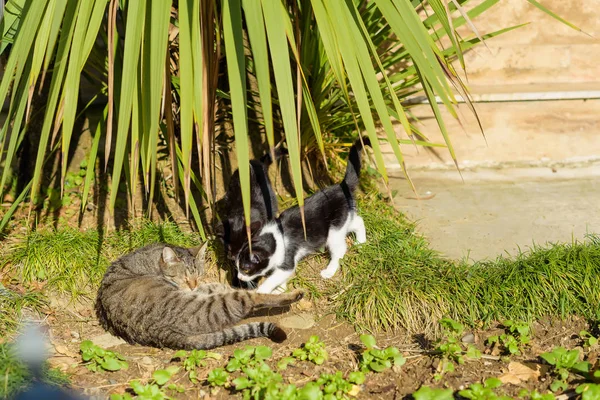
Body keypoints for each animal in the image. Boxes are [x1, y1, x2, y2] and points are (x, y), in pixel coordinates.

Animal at [95, 242, 302, 348]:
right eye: (185, 278)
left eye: (199, 275)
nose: (193, 286)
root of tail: (160, 334)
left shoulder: (202, 289)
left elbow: (216, 286)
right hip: (213, 307)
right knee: (251, 299)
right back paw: (293, 294)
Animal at [236, 138, 370, 294]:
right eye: (237, 266)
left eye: (245, 269)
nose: (239, 277)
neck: (274, 237)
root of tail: (342, 186)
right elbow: (282, 278)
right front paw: (280, 290)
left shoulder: (287, 258)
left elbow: (275, 277)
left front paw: (262, 291)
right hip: (344, 218)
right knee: (358, 221)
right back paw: (361, 242)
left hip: (335, 228)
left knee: (340, 249)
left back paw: (329, 271)